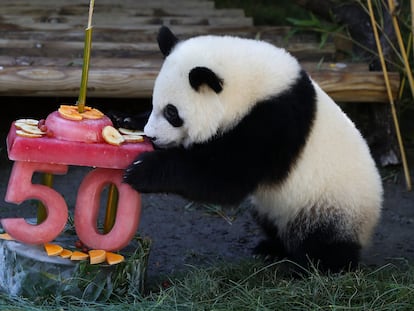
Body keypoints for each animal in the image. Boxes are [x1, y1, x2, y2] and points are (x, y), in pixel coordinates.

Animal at [118, 26, 384, 274]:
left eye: (172, 113)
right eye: (154, 103)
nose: (152, 135)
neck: (253, 84)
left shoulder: (273, 121)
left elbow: (225, 176)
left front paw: (143, 170)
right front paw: (126, 121)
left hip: (332, 204)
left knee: (324, 243)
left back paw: (312, 268)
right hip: (273, 206)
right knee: (272, 222)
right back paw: (271, 249)